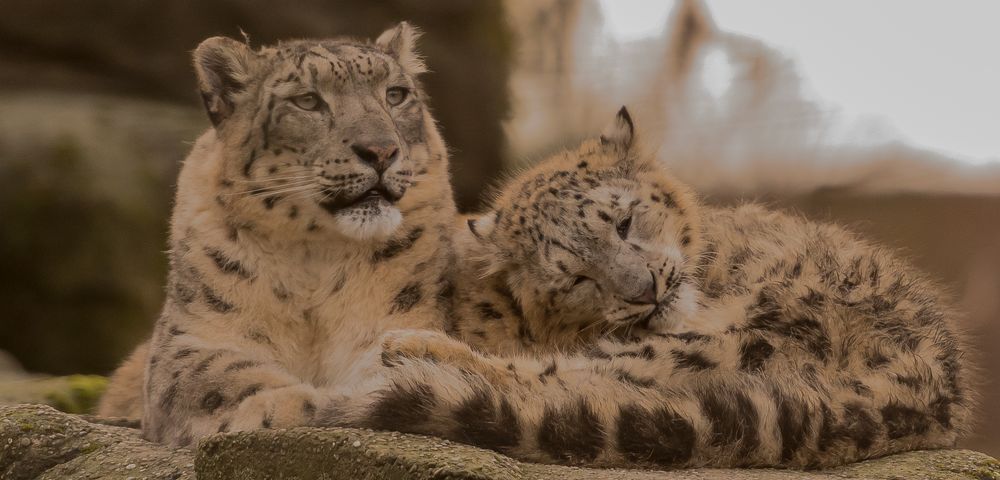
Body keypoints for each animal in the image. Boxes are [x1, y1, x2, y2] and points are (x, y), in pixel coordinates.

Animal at [98, 23, 460, 446]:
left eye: (396, 94)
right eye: (307, 101)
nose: (381, 151)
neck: (316, 257)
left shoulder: (401, 322)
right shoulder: (191, 338)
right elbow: (212, 376)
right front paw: (288, 404)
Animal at [342, 106, 968, 468]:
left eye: (622, 221)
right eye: (575, 276)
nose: (645, 290)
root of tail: (939, 388)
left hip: (754, 332)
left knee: (576, 374)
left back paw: (409, 348)